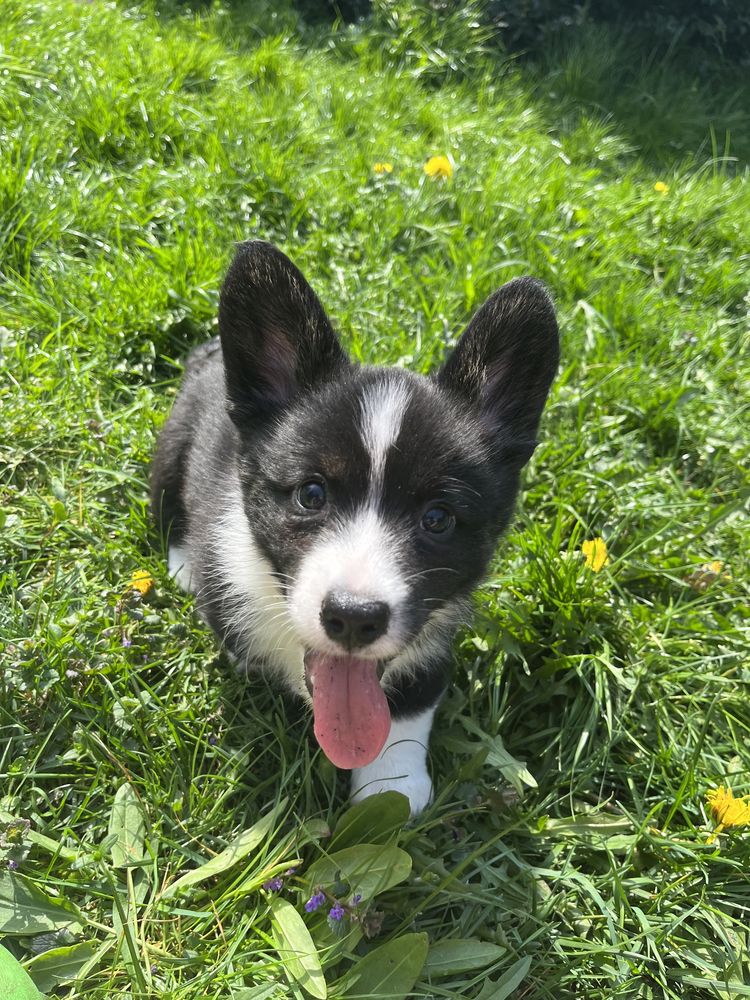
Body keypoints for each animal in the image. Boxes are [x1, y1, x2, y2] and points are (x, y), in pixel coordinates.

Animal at [151, 240, 560, 812]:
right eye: (311, 494)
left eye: (438, 518)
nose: (352, 617)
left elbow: (412, 697)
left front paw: (392, 784)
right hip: (172, 445)